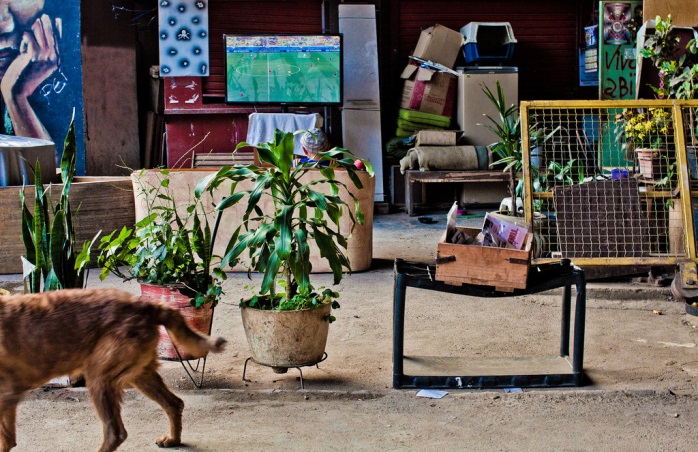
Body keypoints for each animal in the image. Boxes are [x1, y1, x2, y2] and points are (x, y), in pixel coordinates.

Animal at [0, 288, 224, 450]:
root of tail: (147, 305)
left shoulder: (8, 394)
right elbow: (8, 439)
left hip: (99, 378)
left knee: (115, 433)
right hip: (140, 374)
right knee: (174, 403)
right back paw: (173, 439)